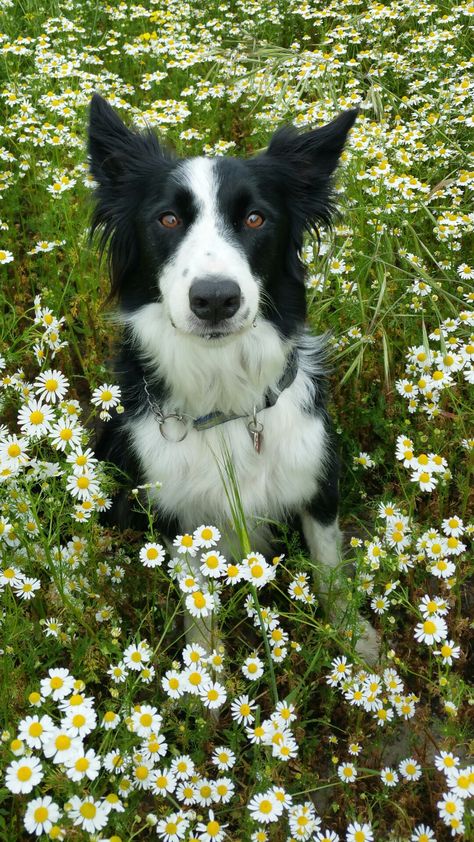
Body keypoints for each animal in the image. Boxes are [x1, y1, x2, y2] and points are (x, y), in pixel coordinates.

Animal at [88, 95, 378, 660]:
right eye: (168, 218)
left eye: (255, 217)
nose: (216, 299)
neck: (224, 390)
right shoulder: (178, 515)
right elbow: (197, 604)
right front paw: (208, 672)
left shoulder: (317, 480)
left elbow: (329, 567)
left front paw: (357, 645)